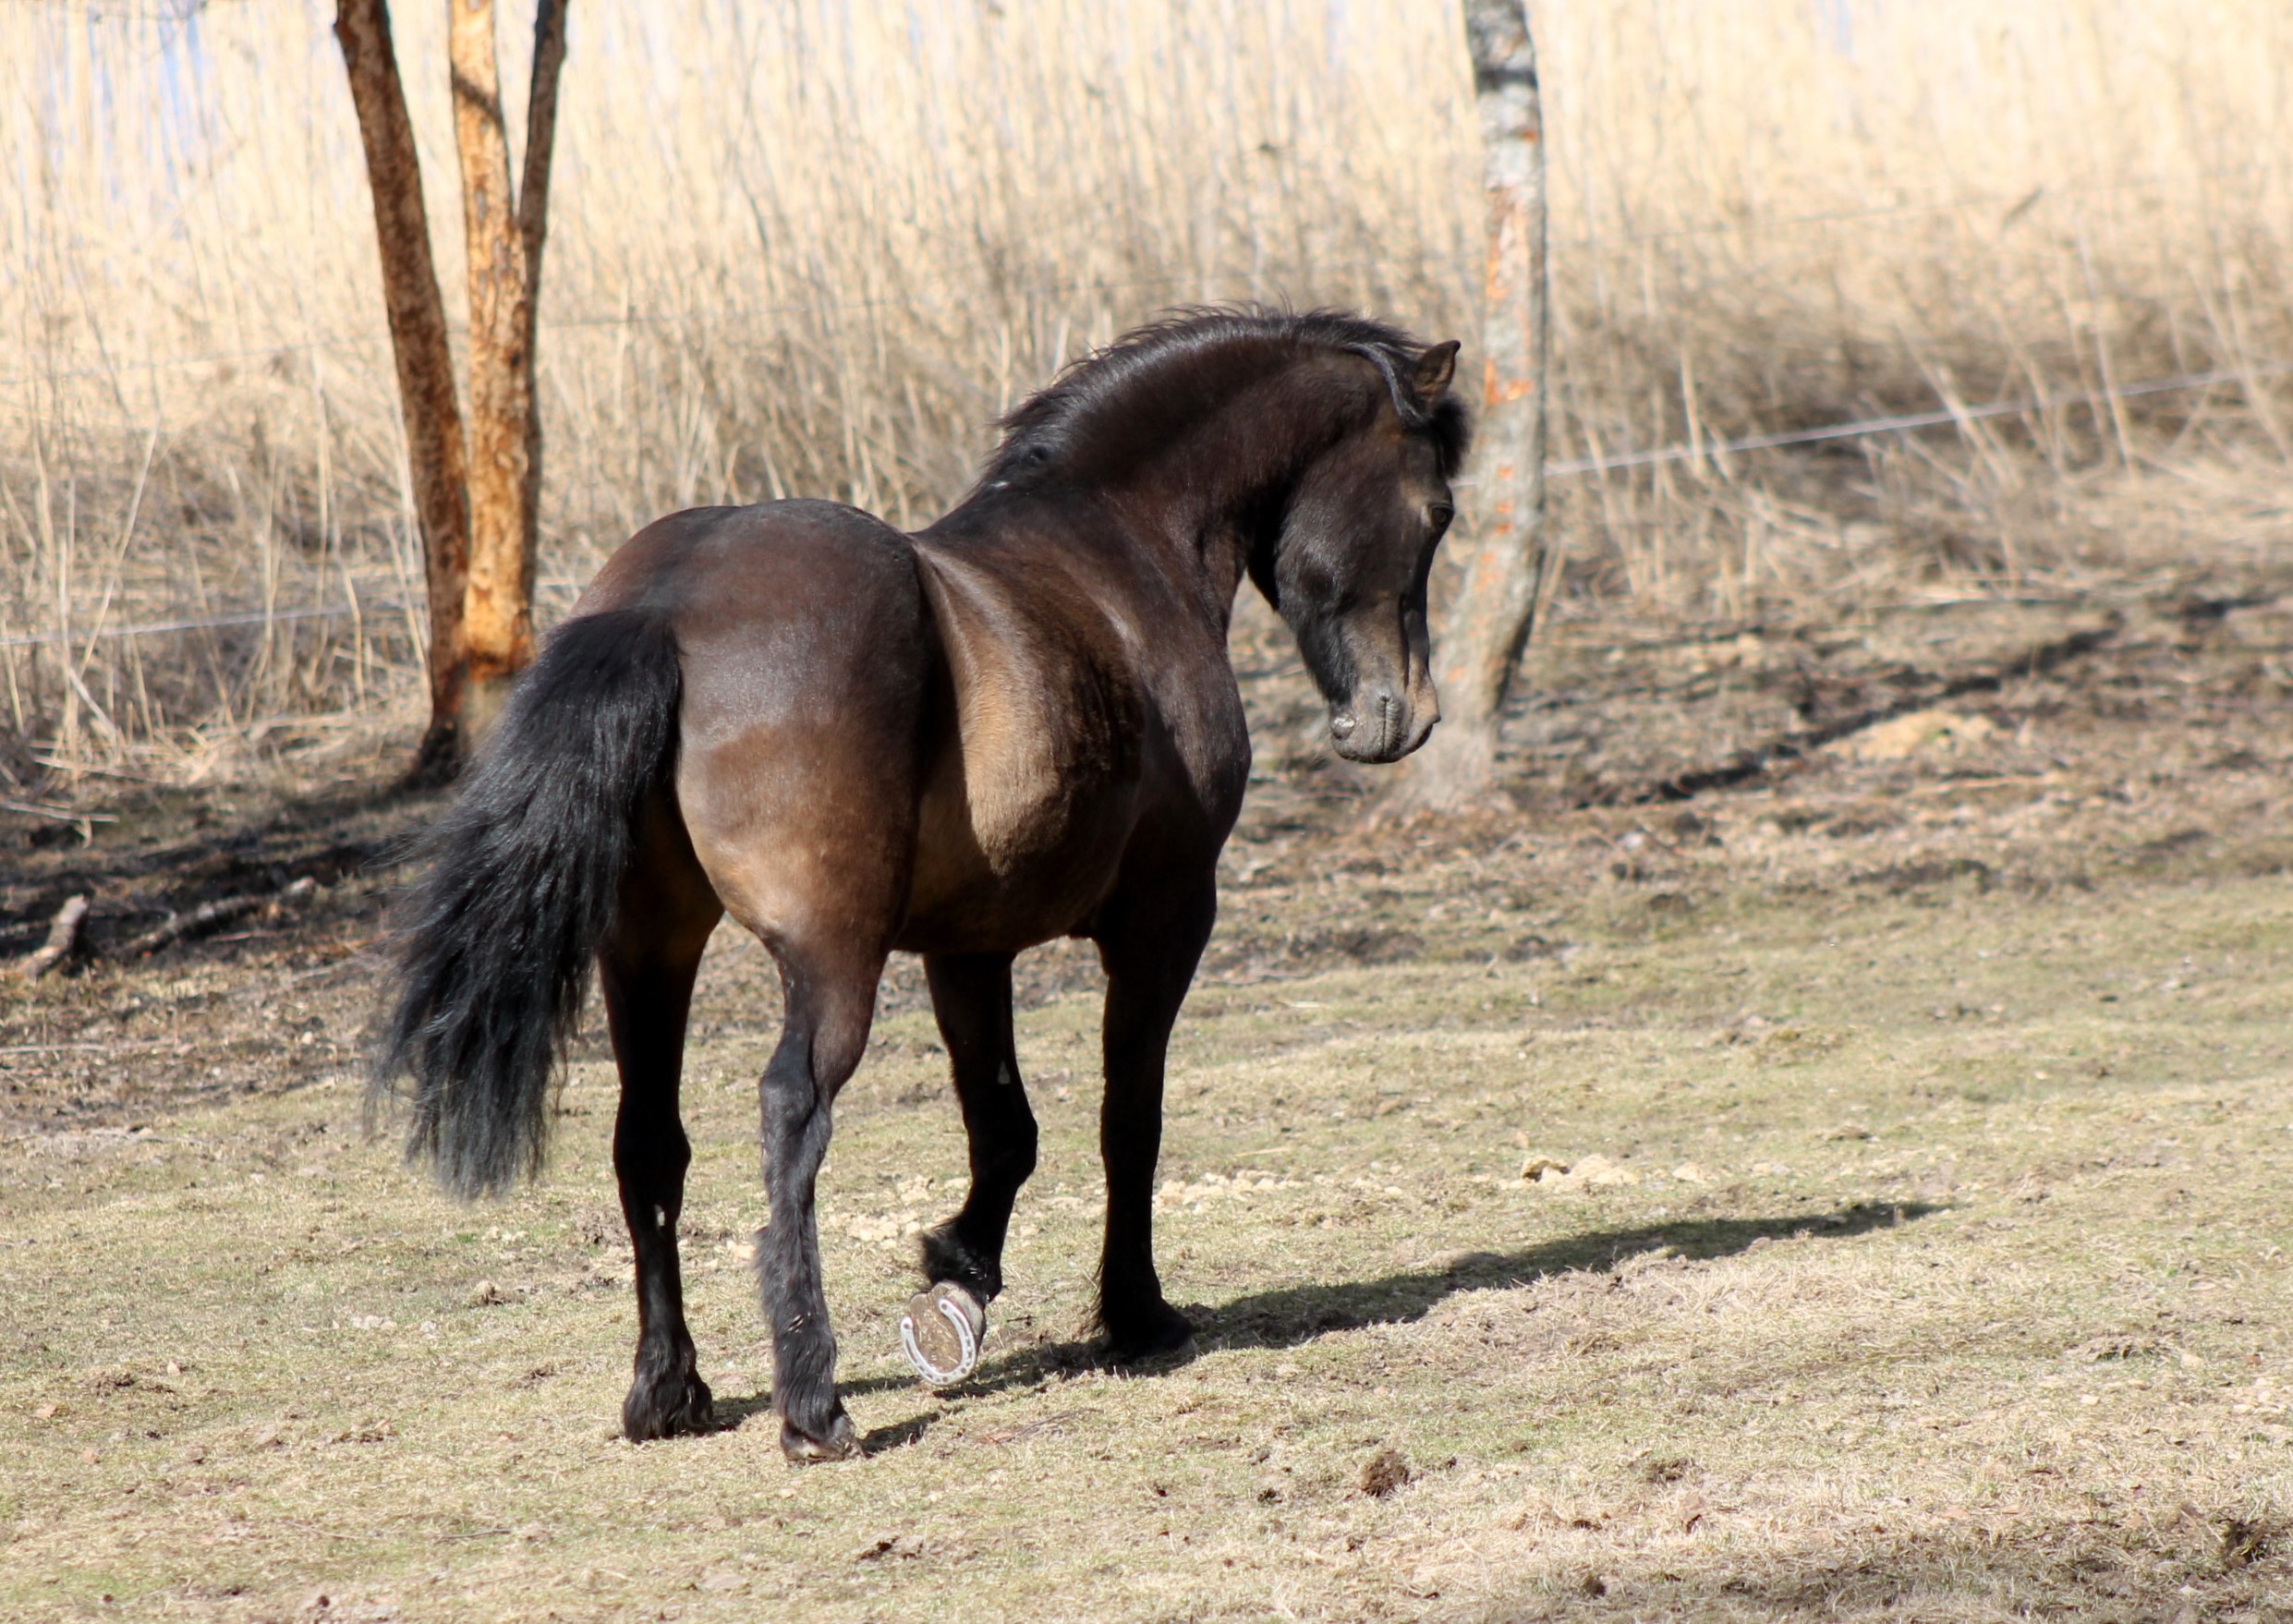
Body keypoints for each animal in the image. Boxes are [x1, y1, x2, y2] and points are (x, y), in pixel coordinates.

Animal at [369, 307, 1458, 1459]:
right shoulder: (1163, 920)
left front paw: (959, 1286)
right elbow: (1129, 1118)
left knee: (649, 1143)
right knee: (790, 1114)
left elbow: (1006, 1128)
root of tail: (664, 605)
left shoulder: (967, 946)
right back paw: (812, 1404)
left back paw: (669, 1390)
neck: (1119, 553)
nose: (1403, 715)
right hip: (831, 959)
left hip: (650, 951)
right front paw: (1133, 1312)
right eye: (1436, 511)